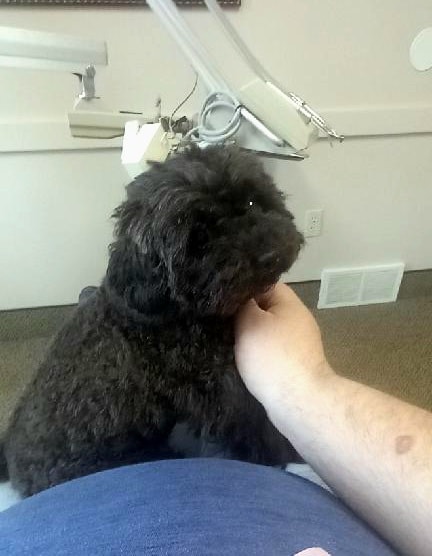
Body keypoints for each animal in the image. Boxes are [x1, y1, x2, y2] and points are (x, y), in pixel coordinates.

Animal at [0, 146, 304, 498]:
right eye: (199, 239)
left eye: (253, 202)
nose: (270, 256)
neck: (173, 311)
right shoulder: (221, 388)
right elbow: (257, 425)